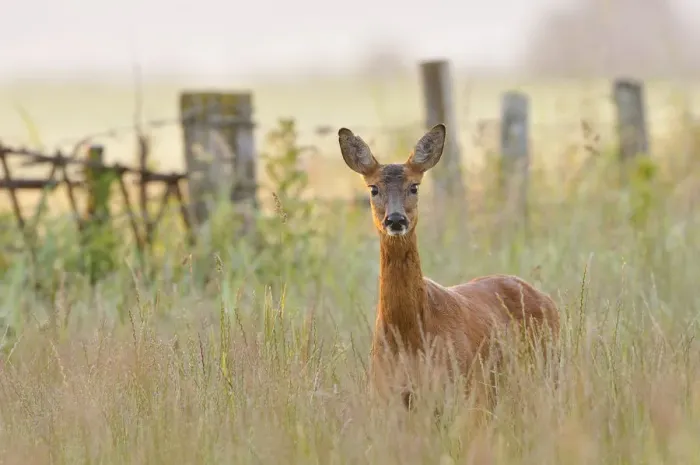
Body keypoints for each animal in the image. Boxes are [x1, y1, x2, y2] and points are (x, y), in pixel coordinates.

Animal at [337, 123, 560, 409]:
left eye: (415, 187)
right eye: (373, 189)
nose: (396, 219)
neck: (409, 336)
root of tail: (546, 299)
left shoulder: (458, 387)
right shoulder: (385, 394)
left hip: (547, 366)